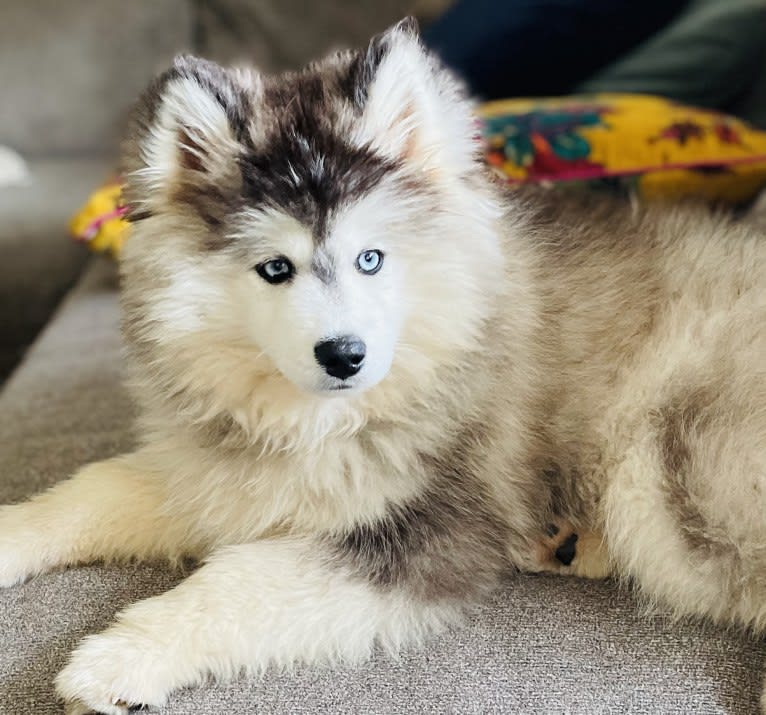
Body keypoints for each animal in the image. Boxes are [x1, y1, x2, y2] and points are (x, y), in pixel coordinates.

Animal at [1, 16, 766, 715]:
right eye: (274, 268)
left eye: (371, 258)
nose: (344, 355)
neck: (315, 419)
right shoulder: (219, 470)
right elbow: (97, 487)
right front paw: (13, 535)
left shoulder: (427, 531)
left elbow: (241, 579)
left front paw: (120, 657)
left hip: (675, 459)